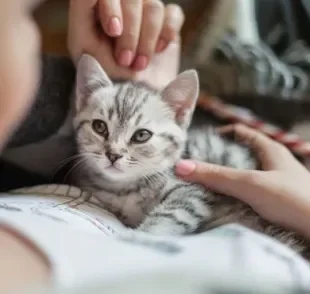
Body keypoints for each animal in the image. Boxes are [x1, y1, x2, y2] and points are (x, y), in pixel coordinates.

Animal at [72, 55, 310, 260]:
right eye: (99, 127)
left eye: (141, 135)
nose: (113, 154)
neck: (124, 188)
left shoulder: (192, 190)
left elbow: (169, 216)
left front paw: (133, 240)